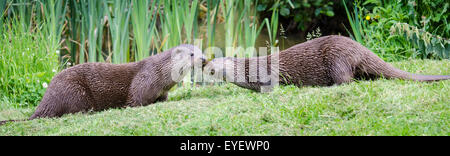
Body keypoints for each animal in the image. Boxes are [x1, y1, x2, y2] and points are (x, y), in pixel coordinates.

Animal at [0, 44, 207, 125]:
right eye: (192, 54)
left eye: (201, 50)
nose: (204, 58)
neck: (159, 74)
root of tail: (47, 98)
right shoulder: (142, 84)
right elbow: (134, 102)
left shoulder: (162, 92)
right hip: (74, 90)